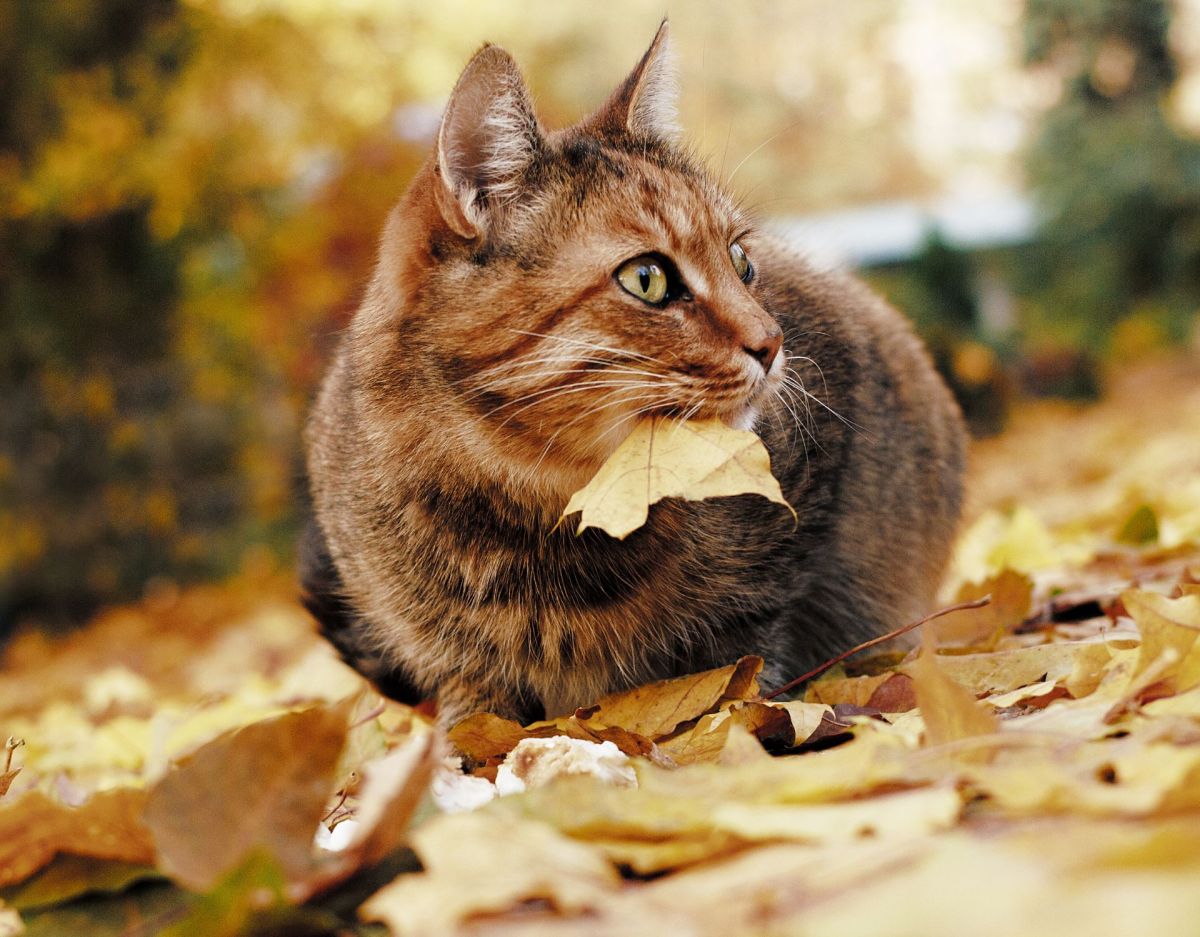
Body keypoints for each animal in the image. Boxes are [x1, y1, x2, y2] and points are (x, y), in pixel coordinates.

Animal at [300, 20, 964, 724]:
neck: (542, 515)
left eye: (741, 260)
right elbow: (472, 717)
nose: (772, 342)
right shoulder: (448, 661)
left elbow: (743, 655)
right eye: (647, 279)